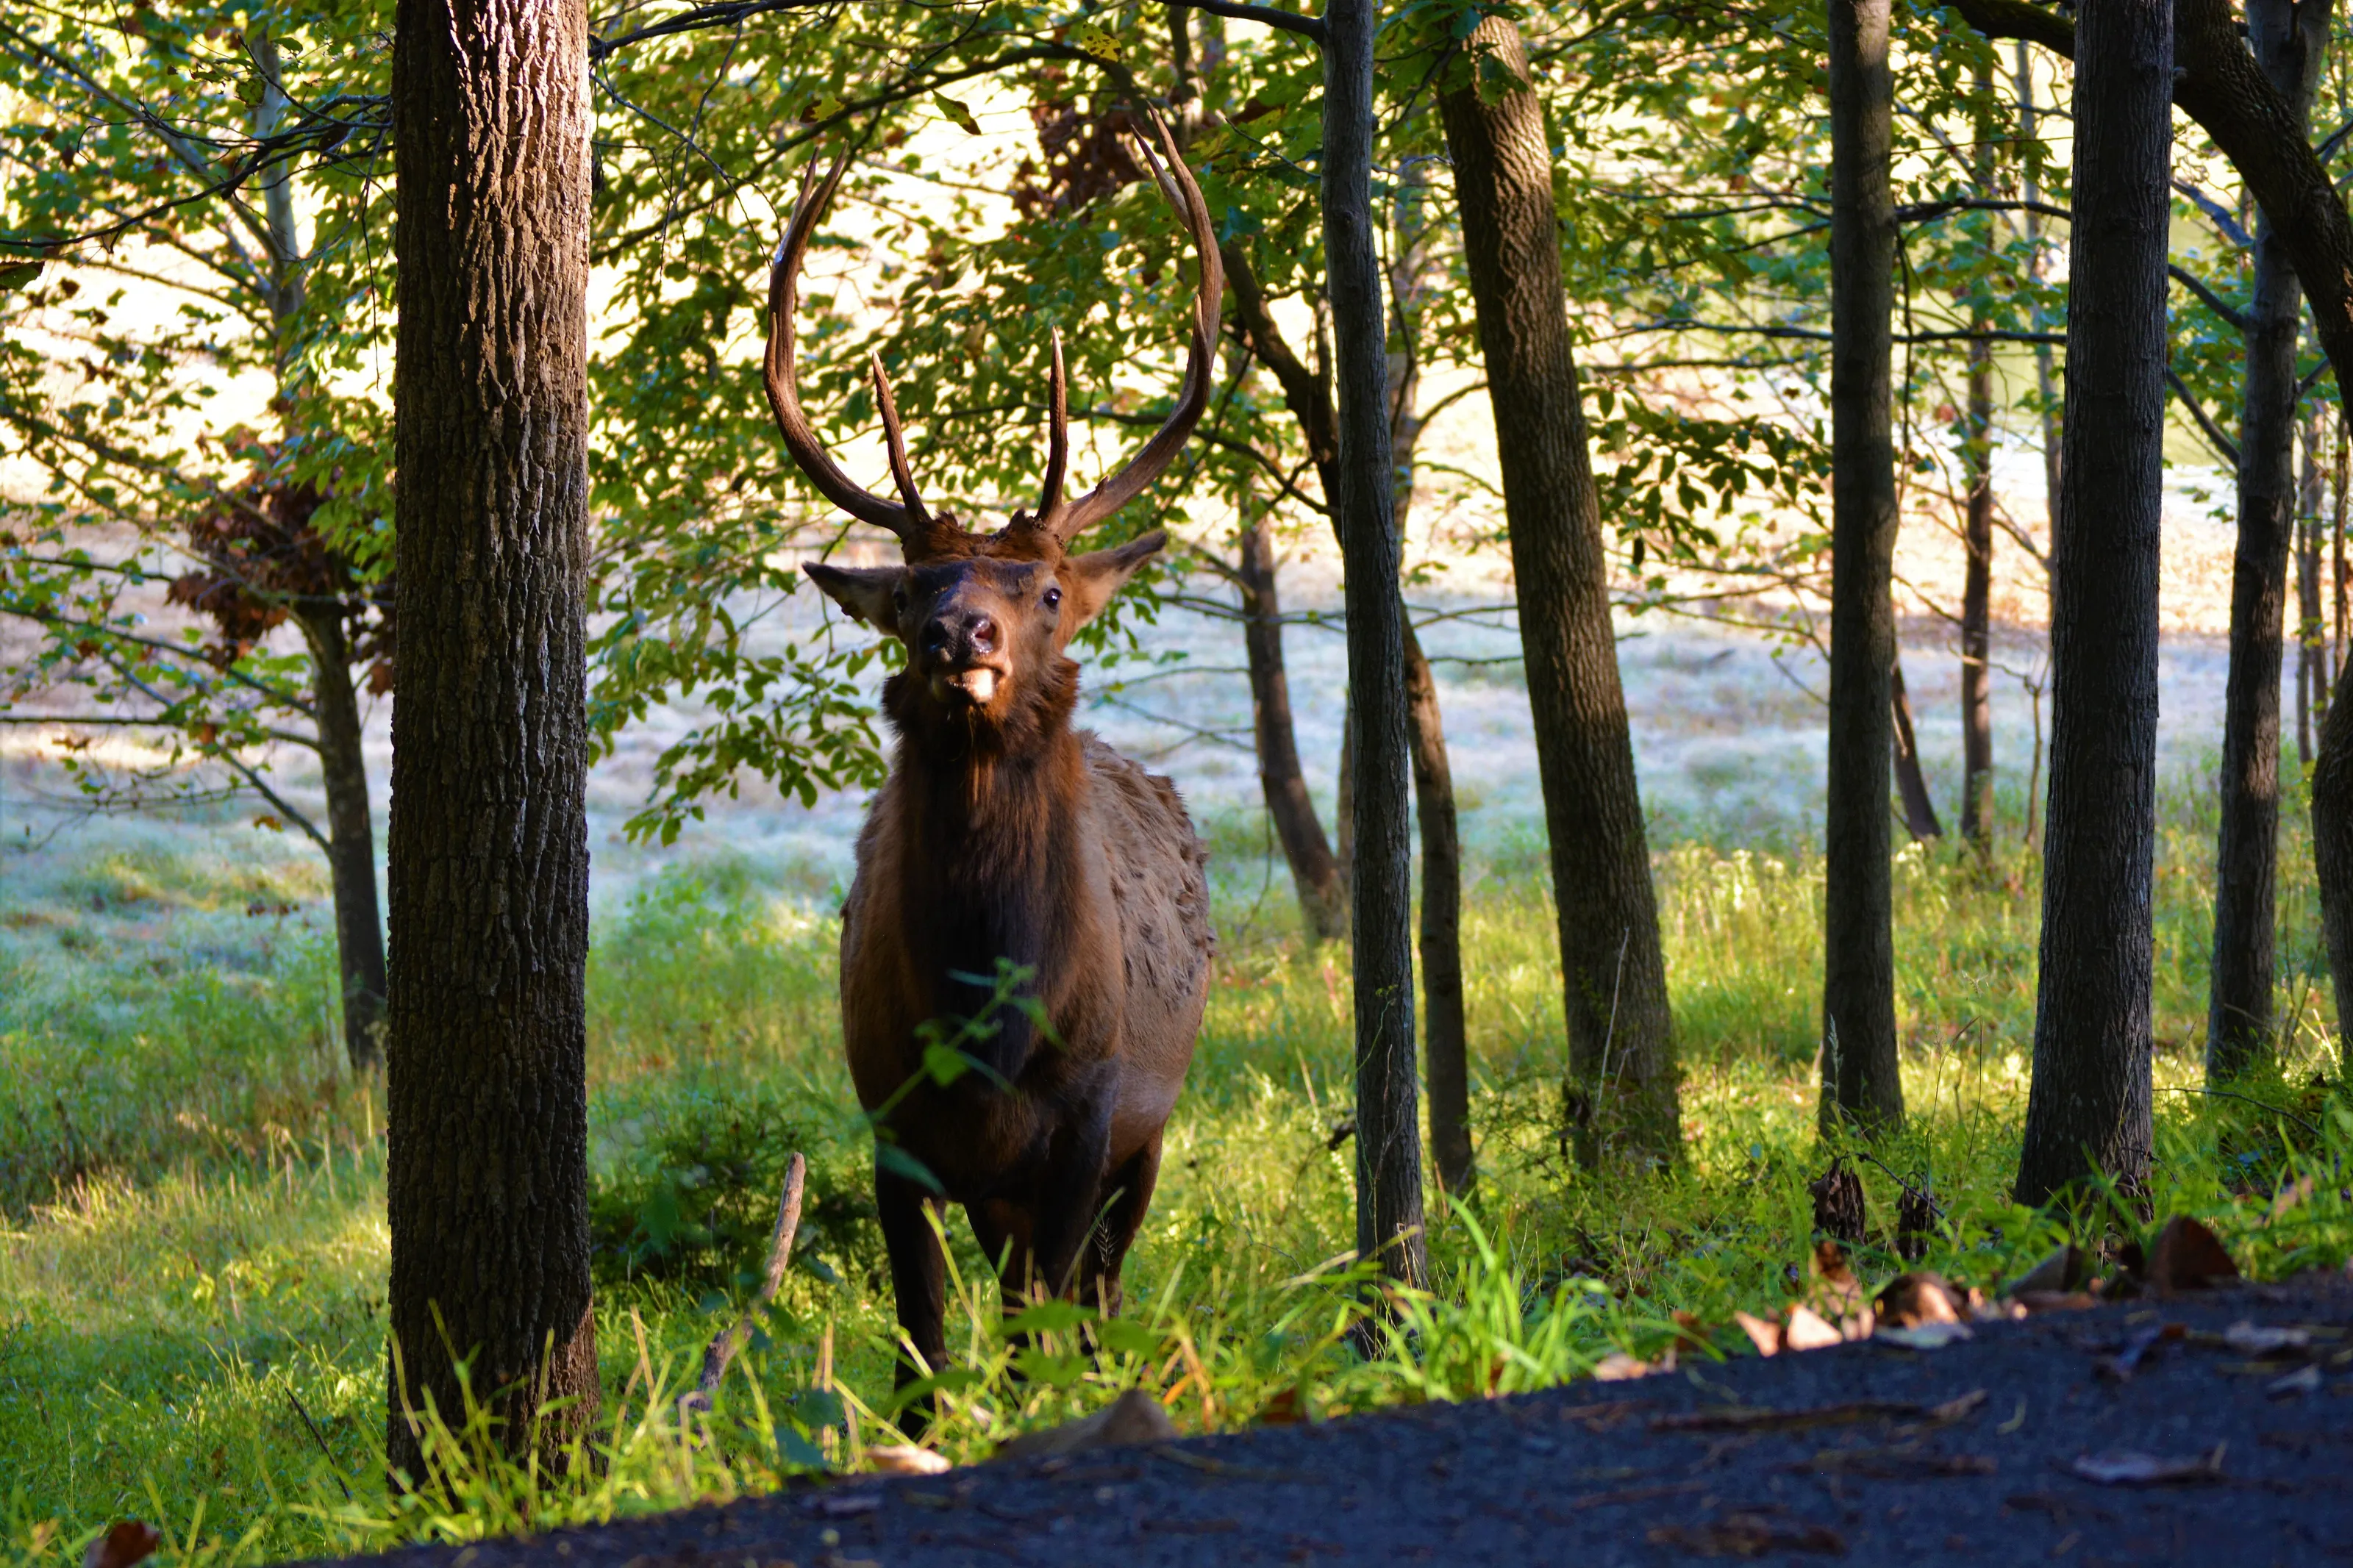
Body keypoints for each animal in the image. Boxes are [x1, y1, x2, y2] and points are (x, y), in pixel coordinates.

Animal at [764, 115, 1221, 1425]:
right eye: (913, 584)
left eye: (1049, 591)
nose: (957, 634)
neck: (990, 1027)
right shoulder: (889, 1121)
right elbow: (920, 1337)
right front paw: (920, 1437)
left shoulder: (1091, 1115)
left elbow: (1039, 1327)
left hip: (1153, 1125)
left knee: (1099, 1291)